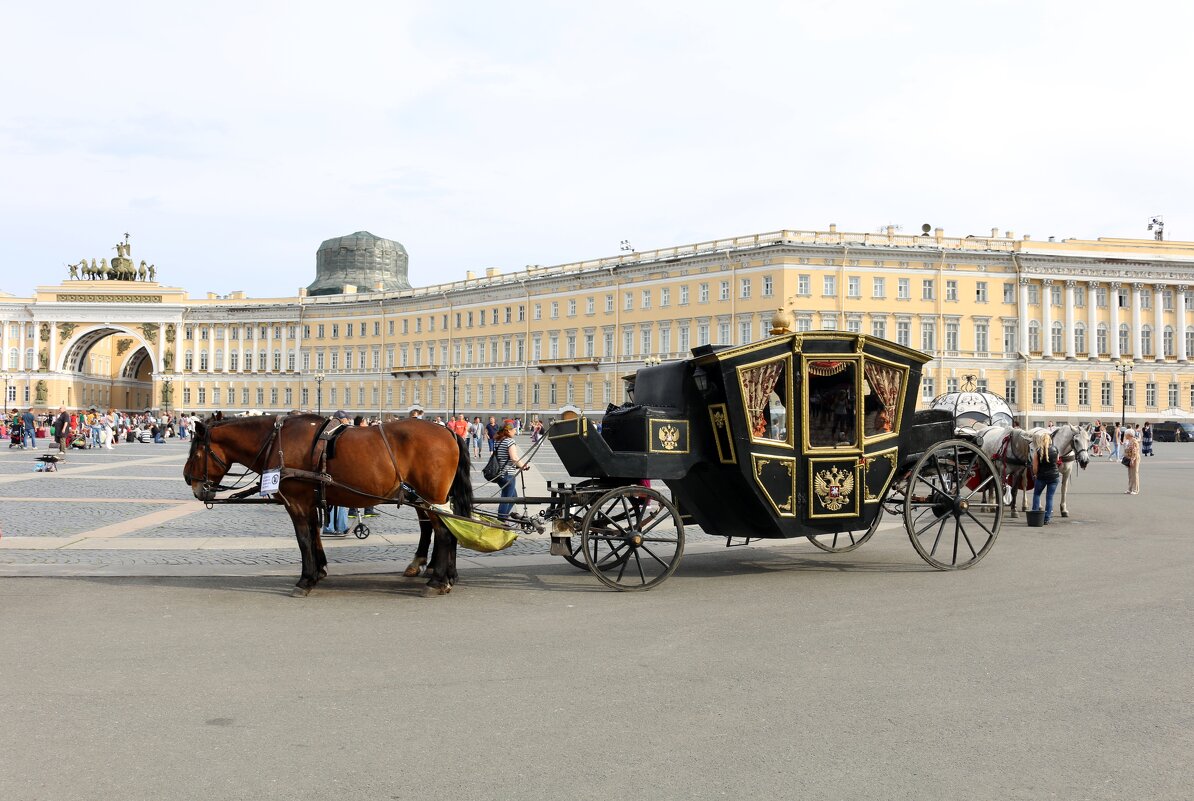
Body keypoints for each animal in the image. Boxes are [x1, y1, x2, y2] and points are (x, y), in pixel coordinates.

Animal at [181, 417, 470, 599]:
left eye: (196, 453)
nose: (187, 480)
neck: (279, 441)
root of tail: (448, 431)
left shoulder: (296, 503)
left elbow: (303, 540)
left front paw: (305, 580)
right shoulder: (309, 503)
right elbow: (315, 537)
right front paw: (318, 572)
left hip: (430, 498)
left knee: (444, 534)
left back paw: (437, 581)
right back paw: (443, 576)